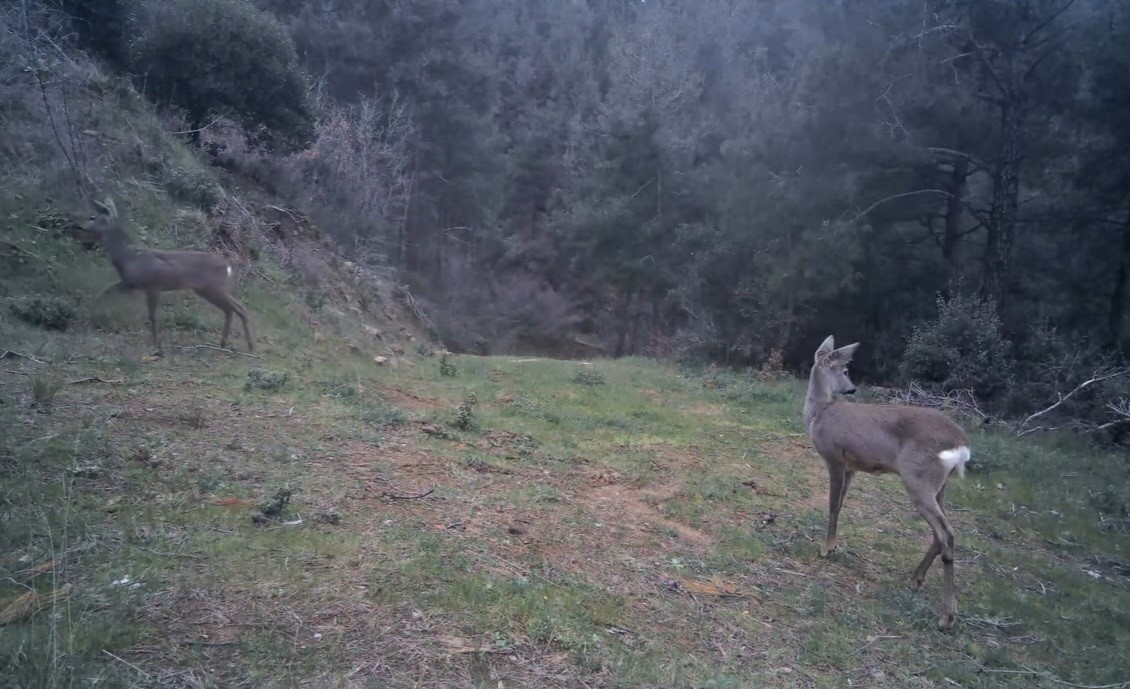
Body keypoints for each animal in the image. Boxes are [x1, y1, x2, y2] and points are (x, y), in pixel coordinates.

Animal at [77, 197, 255, 356]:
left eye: (92, 217)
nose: (78, 225)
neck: (129, 260)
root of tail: (227, 264)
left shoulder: (153, 286)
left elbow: (152, 317)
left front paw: (158, 348)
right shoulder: (129, 283)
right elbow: (105, 291)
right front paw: (92, 313)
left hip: (214, 287)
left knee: (240, 308)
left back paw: (250, 347)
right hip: (206, 290)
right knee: (229, 310)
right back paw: (223, 344)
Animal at [804, 335, 970, 631]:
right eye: (845, 371)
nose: (852, 388)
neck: (819, 412)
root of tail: (962, 444)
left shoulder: (834, 458)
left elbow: (833, 505)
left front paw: (826, 549)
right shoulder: (852, 467)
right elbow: (841, 504)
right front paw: (833, 545)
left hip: (918, 478)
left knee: (946, 533)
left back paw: (946, 616)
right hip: (940, 485)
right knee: (940, 532)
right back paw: (915, 581)